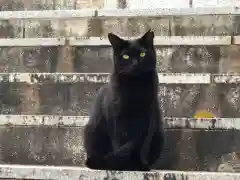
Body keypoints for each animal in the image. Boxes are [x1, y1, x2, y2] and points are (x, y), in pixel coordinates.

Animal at [83, 29, 165, 170]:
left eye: (143, 54)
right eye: (126, 56)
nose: (135, 63)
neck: (135, 86)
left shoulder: (150, 117)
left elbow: (144, 145)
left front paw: (141, 165)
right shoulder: (114, 116)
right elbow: (118, 142)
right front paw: (122, 165)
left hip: (159, 134)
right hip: (92, 130)